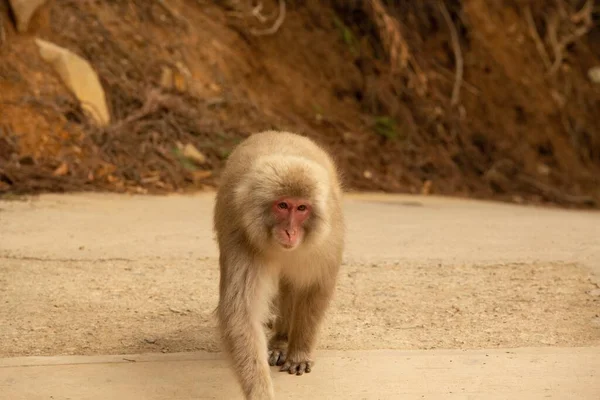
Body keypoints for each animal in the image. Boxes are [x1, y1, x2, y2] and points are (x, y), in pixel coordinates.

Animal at [213, 130, 344, 398]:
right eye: (283, 205)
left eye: (302, 207)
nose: (290, 232)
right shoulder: (240, 237)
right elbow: (242, 311)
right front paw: (260, 390)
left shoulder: (326, 244)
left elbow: (315, 287)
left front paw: (300, 352)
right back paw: (281, 341)